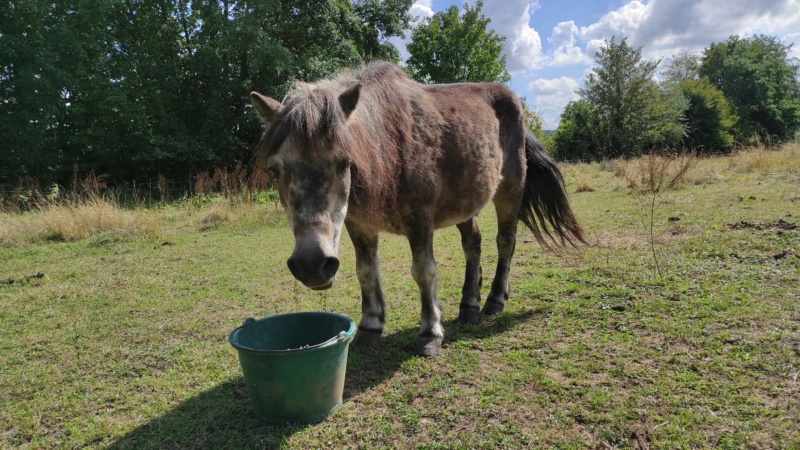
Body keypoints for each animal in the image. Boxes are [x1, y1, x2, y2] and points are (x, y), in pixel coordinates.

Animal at [253, 61, 584, 356]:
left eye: (343, 162)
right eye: (276, 169)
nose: (311, 264)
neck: (387, 148)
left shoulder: (420, 221)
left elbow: (424, 272)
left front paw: (430, 334)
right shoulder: (358, 224)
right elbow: (366, 272)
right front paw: (370, 327)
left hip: (510, 189)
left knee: (505, 242)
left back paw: (494, 301)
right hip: (464, 202)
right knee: (472, 243)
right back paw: (469, 306)